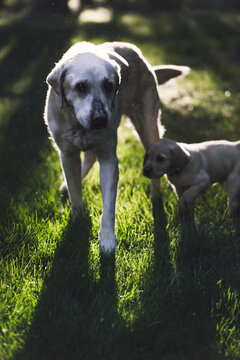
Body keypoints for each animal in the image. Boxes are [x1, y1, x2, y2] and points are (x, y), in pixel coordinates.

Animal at [45, 41, 190, 253]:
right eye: (80, 87)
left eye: (108, 86)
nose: (100, 119)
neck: (79, 125)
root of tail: (140, 57)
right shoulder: (67, 154)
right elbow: (75, 190)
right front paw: (77, 219)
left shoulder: (109, 160)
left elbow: (108, 206)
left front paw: (107, 239)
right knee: (87, 160)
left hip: (148, 127)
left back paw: (156, 197)